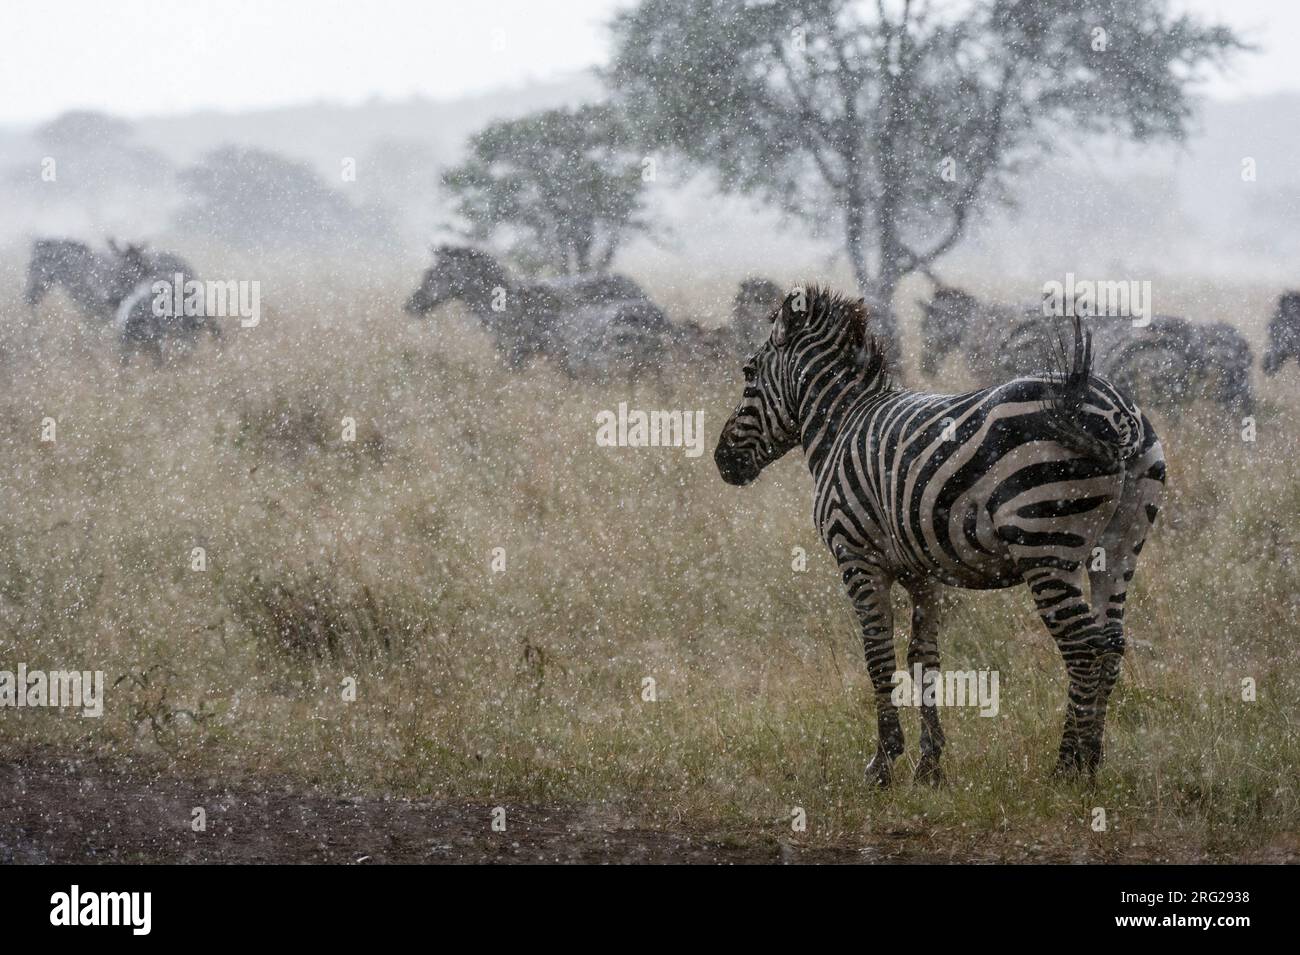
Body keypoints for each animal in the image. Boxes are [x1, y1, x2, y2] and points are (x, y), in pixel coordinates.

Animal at [712, 285, 1170, 784]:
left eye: (748, 373)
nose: (721, 460)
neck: (841, 425)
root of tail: (1114, 410)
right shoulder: (922, 571)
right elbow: (923, 657)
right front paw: (929, 766)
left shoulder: (856, 555)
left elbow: (877, 655)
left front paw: (883, 762)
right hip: (1121, 546)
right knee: (1111, 643)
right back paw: (1092, 762)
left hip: (1046, 544)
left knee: (1083, 648)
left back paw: (1067, 768)